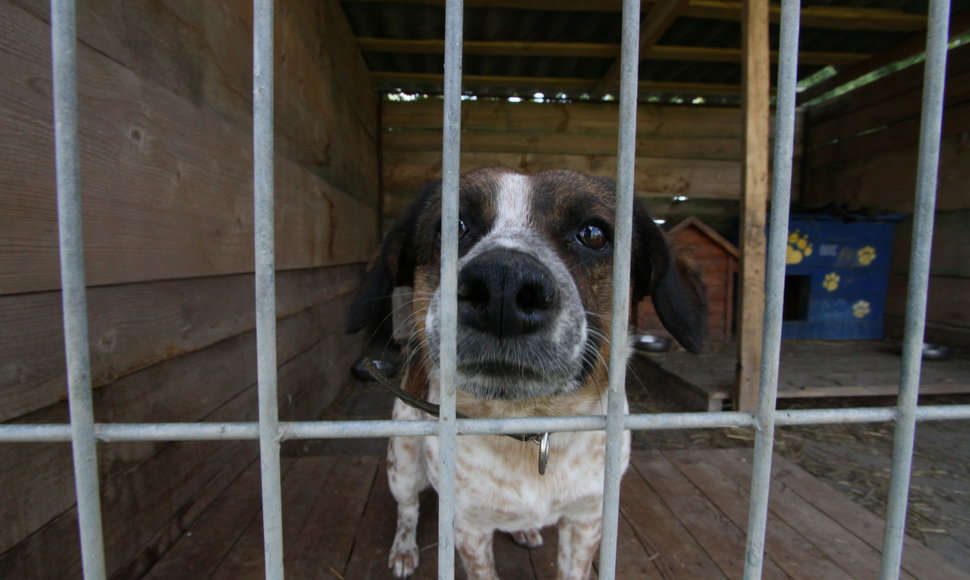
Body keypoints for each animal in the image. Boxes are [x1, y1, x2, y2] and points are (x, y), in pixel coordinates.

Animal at [348, 168, 704, 580]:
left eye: (593, 234)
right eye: (452, 226)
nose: (503, 283)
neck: (528, 426)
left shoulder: (587, 518)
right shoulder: (468, 525)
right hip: (403, 462)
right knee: (407, 507)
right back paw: (405, 548)